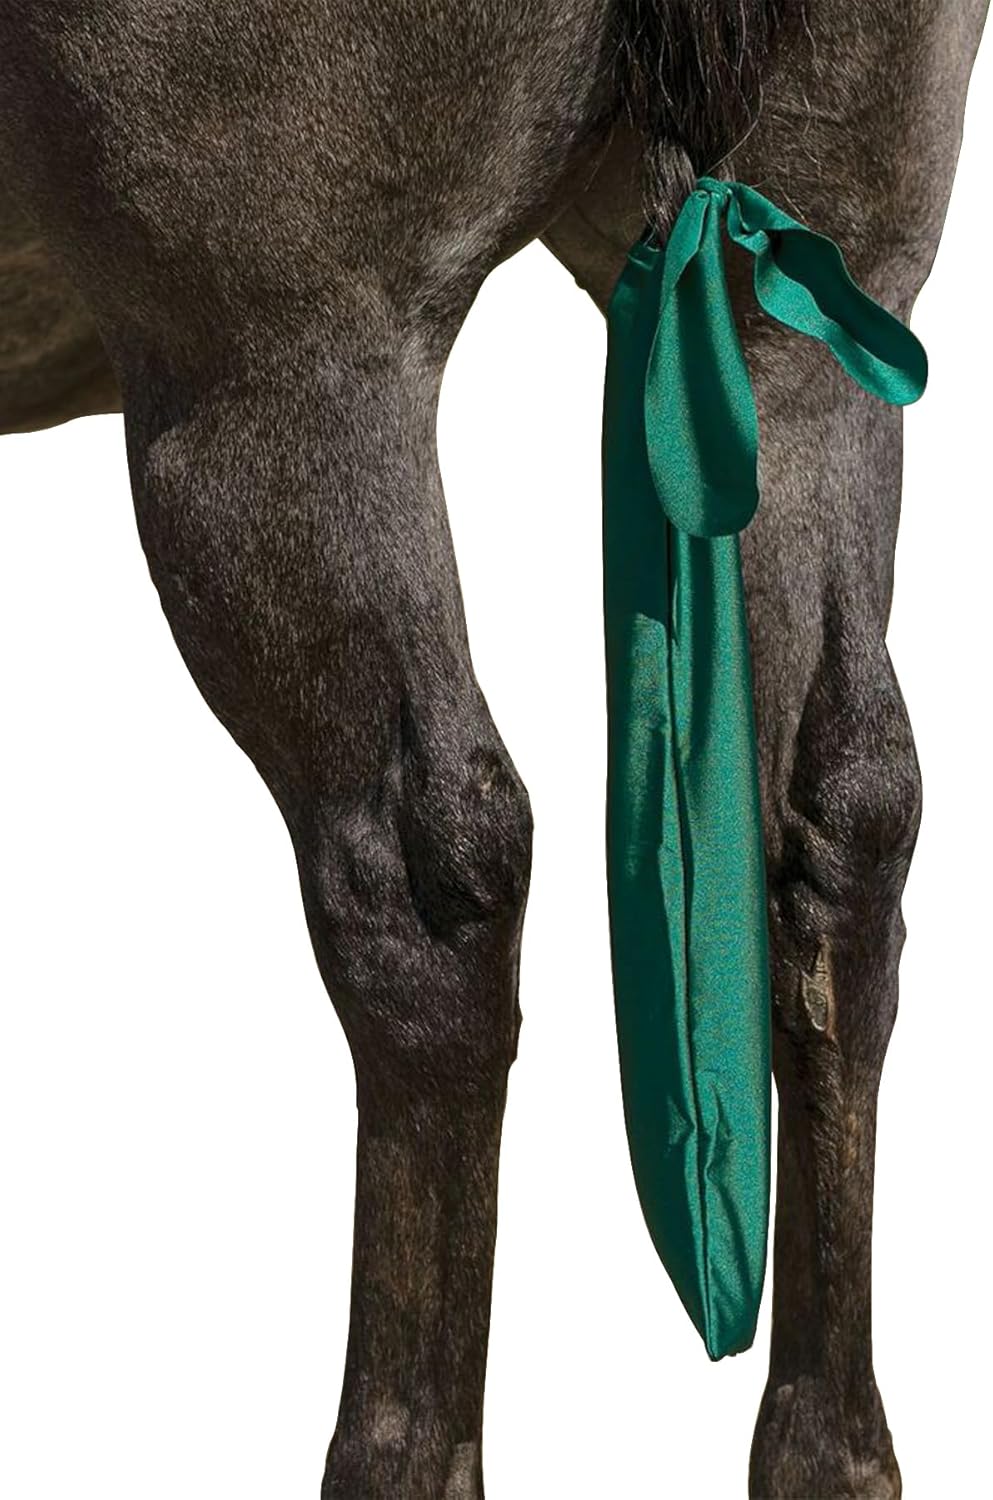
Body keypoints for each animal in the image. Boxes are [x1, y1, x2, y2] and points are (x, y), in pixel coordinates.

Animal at [0, 2, 987, 1495]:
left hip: (279, 360)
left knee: (427, 875)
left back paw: (399, 1453)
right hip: (816, 302)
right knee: (847, 825)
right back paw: (832, 1447)